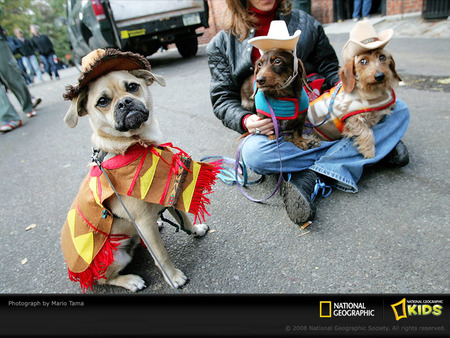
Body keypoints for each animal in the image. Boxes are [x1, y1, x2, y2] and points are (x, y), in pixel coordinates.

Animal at [61, 49, 213, 290]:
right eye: (102, 101)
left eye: (132, 87)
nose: (125, 102)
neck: (137, 144)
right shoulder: (143, 222)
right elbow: (161, 255)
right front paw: (173, 277)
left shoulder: (169, 193)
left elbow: (184, 218)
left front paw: (195, 230)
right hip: (116, 256)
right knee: (107, 279)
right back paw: (131, 281)